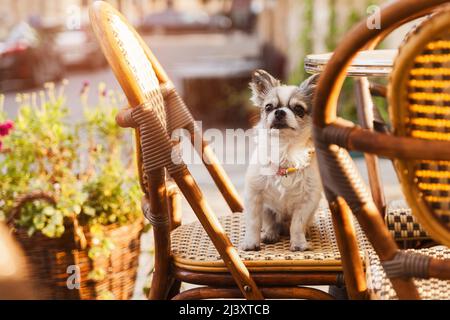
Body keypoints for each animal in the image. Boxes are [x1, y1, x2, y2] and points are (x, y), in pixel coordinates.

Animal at [241, 70, 322, 252]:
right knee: (271, 224)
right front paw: (251, 243)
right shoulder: (254, 196)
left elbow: (297, 225)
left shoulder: (307, 201)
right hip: (267, 209)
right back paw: (270, 234)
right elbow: (253, 222)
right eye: (268, 107)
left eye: (299, 109)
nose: (279, 112)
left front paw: (299, 244)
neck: (285, 151)